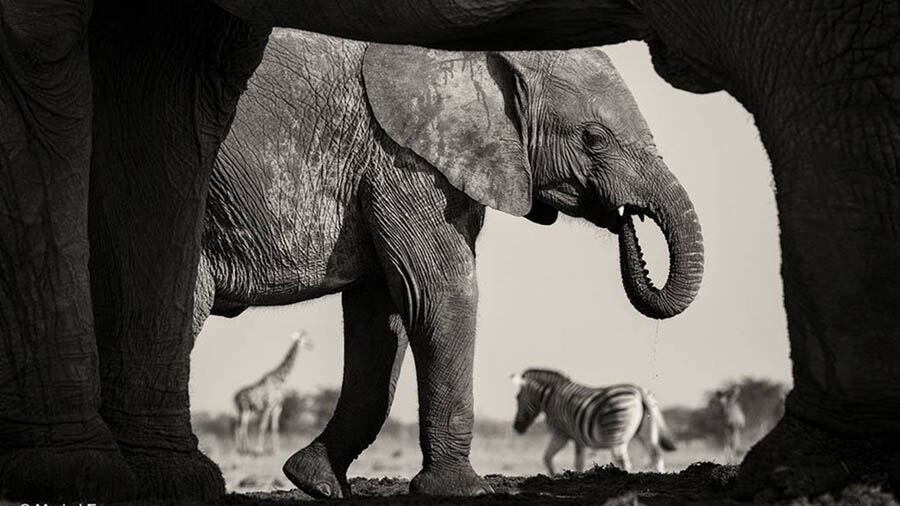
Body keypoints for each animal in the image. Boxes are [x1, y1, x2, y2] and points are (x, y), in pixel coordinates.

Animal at [512, 368, 676, 474]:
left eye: (518, 398)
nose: (516, 428)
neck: (551, 396)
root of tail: (640, 392)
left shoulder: (561, 434)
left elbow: (548, 458)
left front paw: (553, 476)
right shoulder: (577, 438)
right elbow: (576, 462)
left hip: (616, 432)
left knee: (623, 461)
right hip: (647, 431)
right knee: (656, 455)